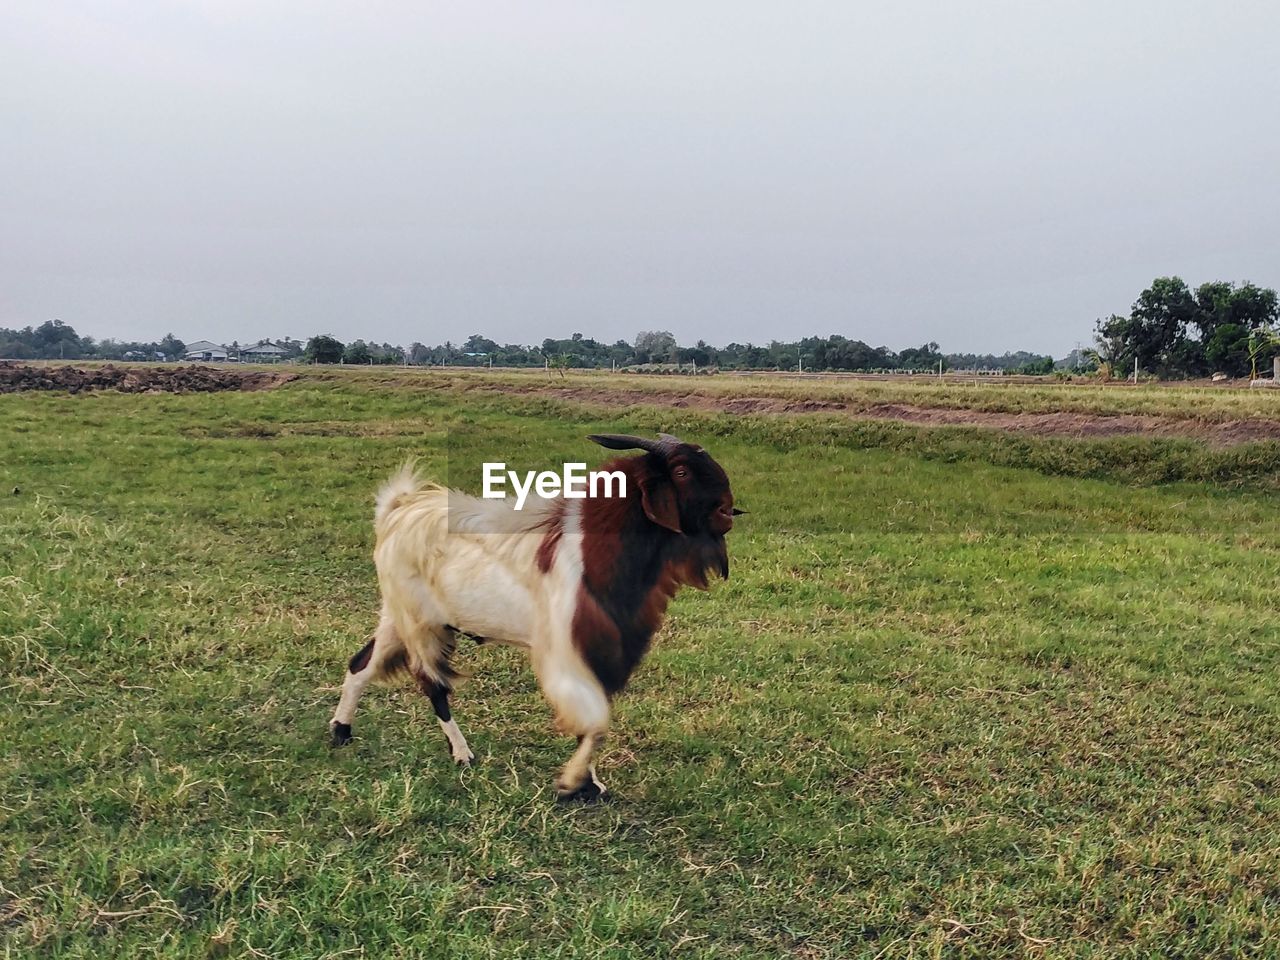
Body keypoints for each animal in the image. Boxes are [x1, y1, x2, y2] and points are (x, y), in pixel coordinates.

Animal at [330, 432, 742, 798]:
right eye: (682, 472)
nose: (728, 508)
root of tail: (398, 509)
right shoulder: (566, 648)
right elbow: (595, 719)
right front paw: (574, 784)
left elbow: (596, 716)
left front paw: (589, 783)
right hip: (421, 624)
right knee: (432, 684)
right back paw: (462, 754)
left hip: (398, 616)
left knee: (361, 664)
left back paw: (341, 730)